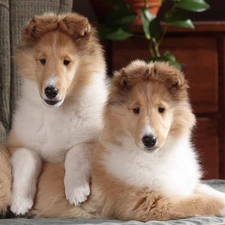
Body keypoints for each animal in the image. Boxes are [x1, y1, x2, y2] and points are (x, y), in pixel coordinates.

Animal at [7, 13, 107, 215]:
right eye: (42, 60)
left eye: (66, 61)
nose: (51, 91)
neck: (55, 112)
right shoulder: (17, 144)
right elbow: (28, 159)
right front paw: (20, 202)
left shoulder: (96, 139)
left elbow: (77, 150)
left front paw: (76, 190)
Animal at [29, 60, 225, 221]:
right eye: (136, 110)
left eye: (161, 109)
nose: (149, 140)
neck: (156, 156)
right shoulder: (145, 204)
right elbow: (198, 201)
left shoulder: (186, 185)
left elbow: (209, 191)